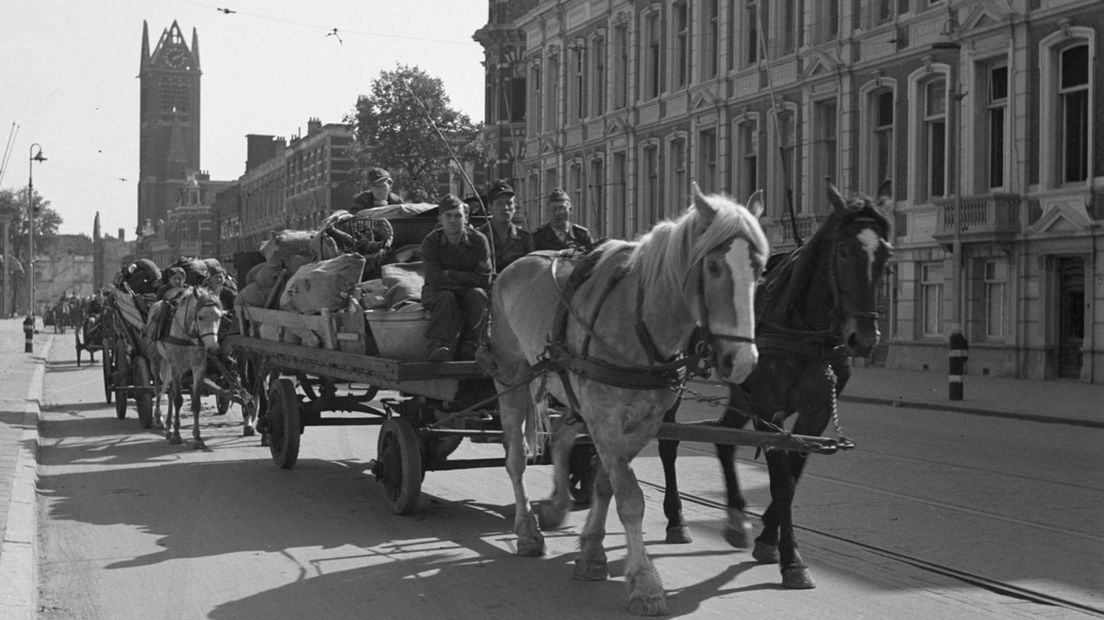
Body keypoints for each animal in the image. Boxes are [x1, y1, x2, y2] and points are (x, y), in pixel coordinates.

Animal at [657, 179, 892, 586]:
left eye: (886, 255)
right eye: (843, 251)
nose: (863, 338)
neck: (805, 328)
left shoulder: (815, 411)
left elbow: (793, 473)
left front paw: (768, 536)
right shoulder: (769, 407)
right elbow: (781, 479)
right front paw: (791, 558)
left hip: (740, 389)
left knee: (724, 437)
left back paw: (736, 519)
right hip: (677, 379)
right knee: (669, 441)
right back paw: (677, 519)